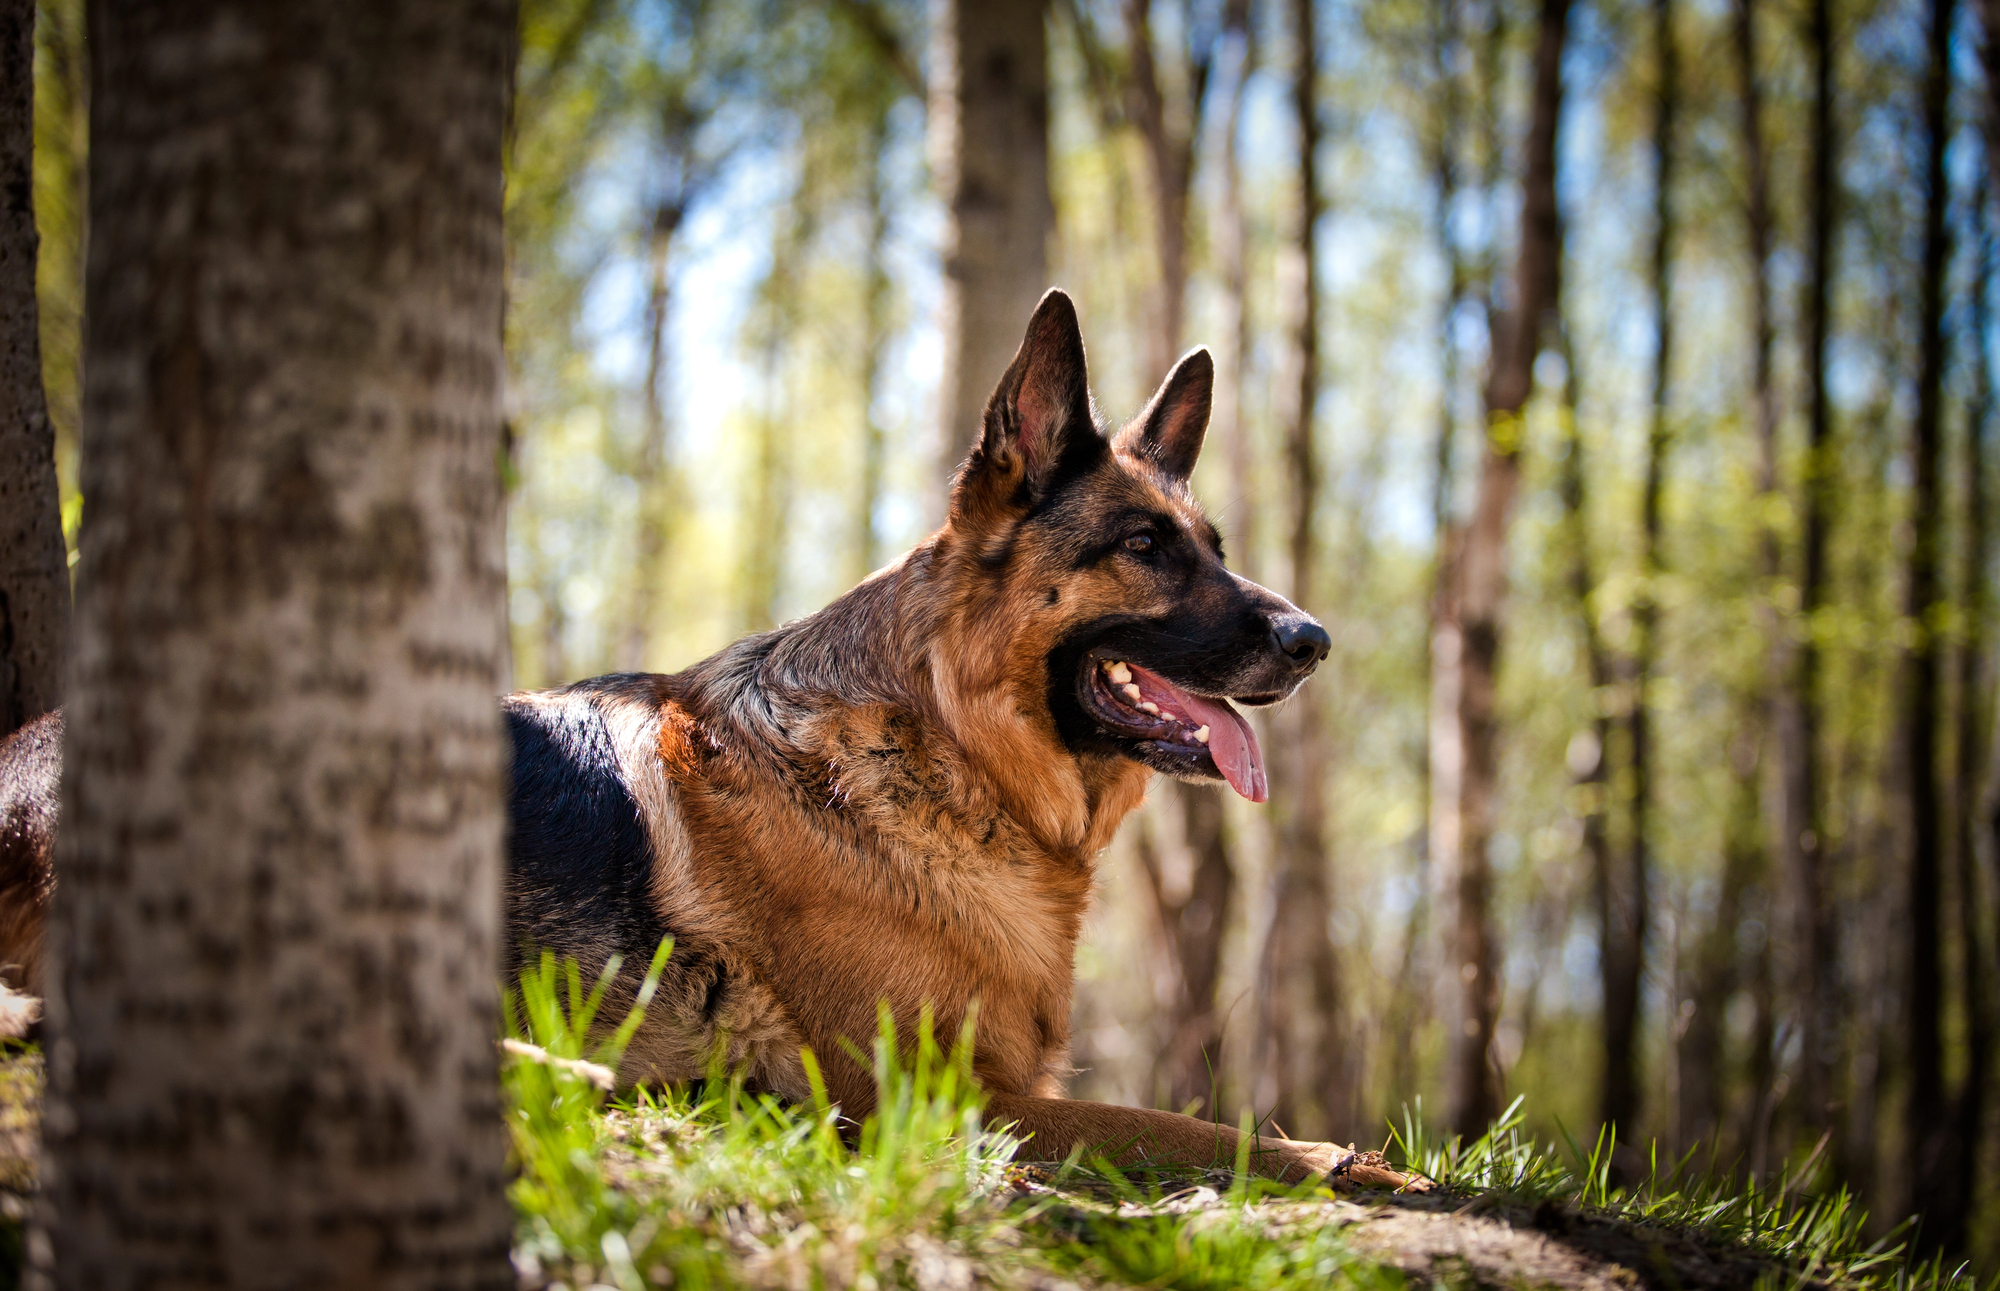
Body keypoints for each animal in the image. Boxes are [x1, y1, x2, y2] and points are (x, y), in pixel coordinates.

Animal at [3, 291, 1440, 1191]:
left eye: (1217, 546)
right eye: (1144, 546)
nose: (1313, 638)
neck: (943, 757)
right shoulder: (942, 1101)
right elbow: (1200, 1127)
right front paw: (1349, 1156)